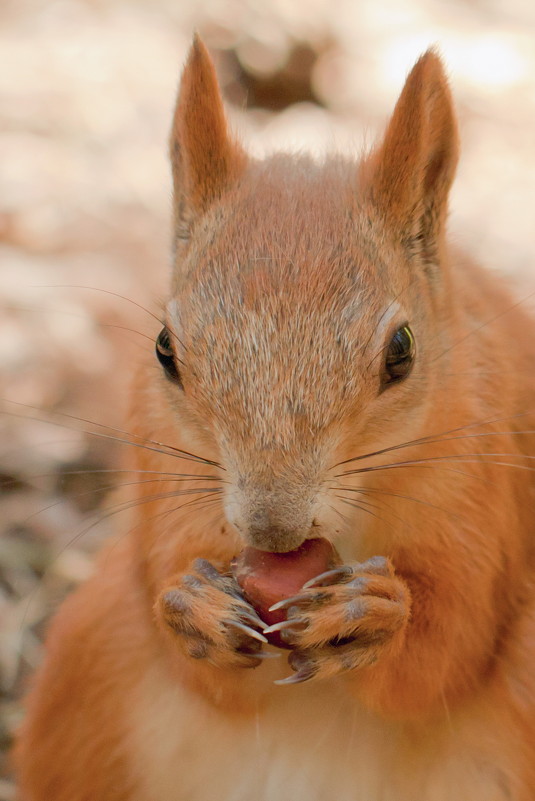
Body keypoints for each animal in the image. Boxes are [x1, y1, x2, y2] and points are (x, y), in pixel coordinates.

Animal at [13, 36, 535, 800]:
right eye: (164, 350)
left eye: (402, 351)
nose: (272, 530)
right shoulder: (167, 472)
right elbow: (205, 665)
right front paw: (190, 606)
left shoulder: (483, 483)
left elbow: (450, 649)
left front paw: (376, 615)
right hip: (88, 662)